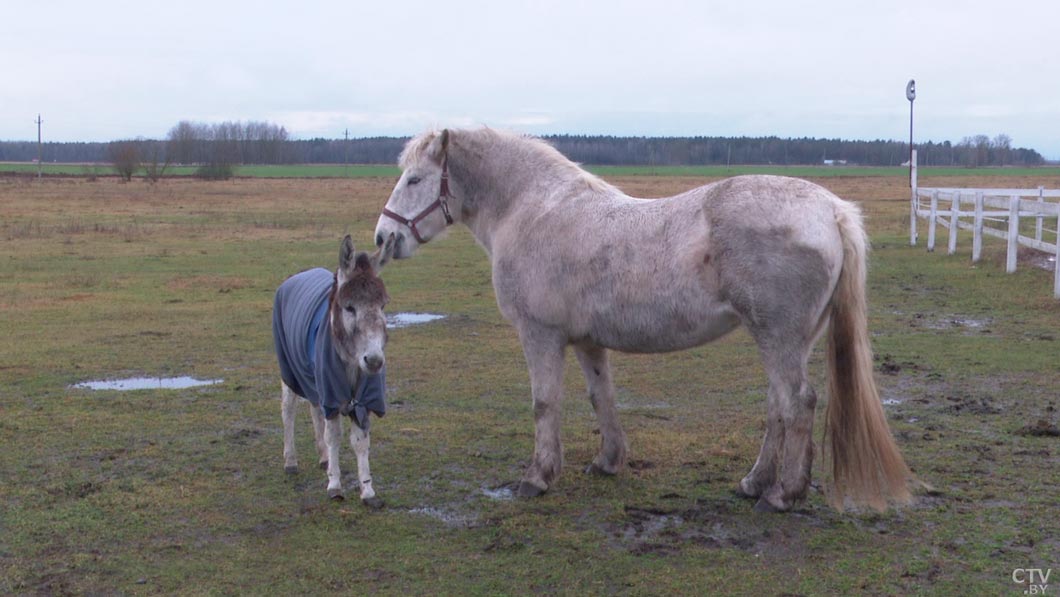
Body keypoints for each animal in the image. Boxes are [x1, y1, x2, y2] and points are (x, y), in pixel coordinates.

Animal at [373, 129, 911, 513]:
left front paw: (538, 477)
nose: (382, 238)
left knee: (797, 402)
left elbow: (545, 404)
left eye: (415, 179)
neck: (533, 210)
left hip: (778, 337)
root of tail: (831, 210)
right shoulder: (587, 341)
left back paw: (784, 494)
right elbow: (601, 397)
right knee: (779, 405)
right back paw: (755, 482)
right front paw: (608, 461)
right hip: (787, 341)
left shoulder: (540, 335)